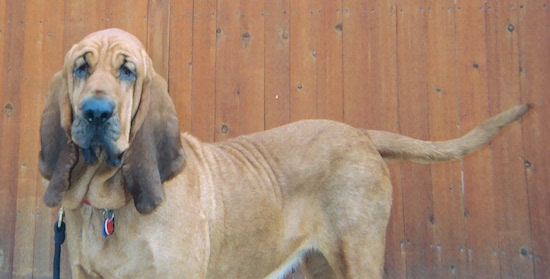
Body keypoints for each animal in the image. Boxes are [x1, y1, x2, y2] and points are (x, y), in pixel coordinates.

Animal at [38, 29, 532, 279]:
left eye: (128, 71)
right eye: (81, 67)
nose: (96, 112)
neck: (110, 205)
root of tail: (360, 133)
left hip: (358, 255)